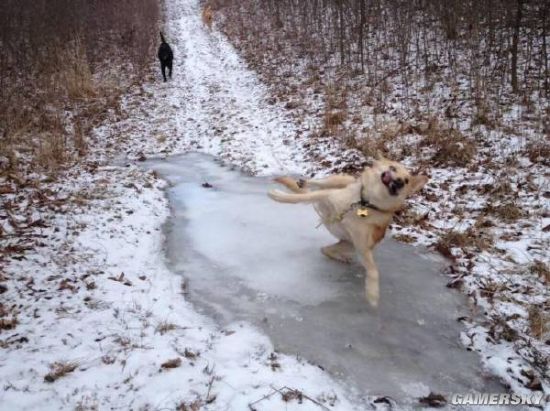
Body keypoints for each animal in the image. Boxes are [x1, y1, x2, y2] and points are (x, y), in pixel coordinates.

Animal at [268, 155, 432, 308]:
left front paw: (372, 293)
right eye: (393, 168)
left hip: (349, 245)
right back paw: (306, 182)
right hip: (339, 182)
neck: (364, 203)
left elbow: (374, 271)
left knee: (324, 249)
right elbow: (298, 197)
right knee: (320, 183)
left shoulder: (362, 247)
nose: (398, 182)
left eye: (406, 181)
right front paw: (280, 196)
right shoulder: (328, 195)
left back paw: (340, 257)